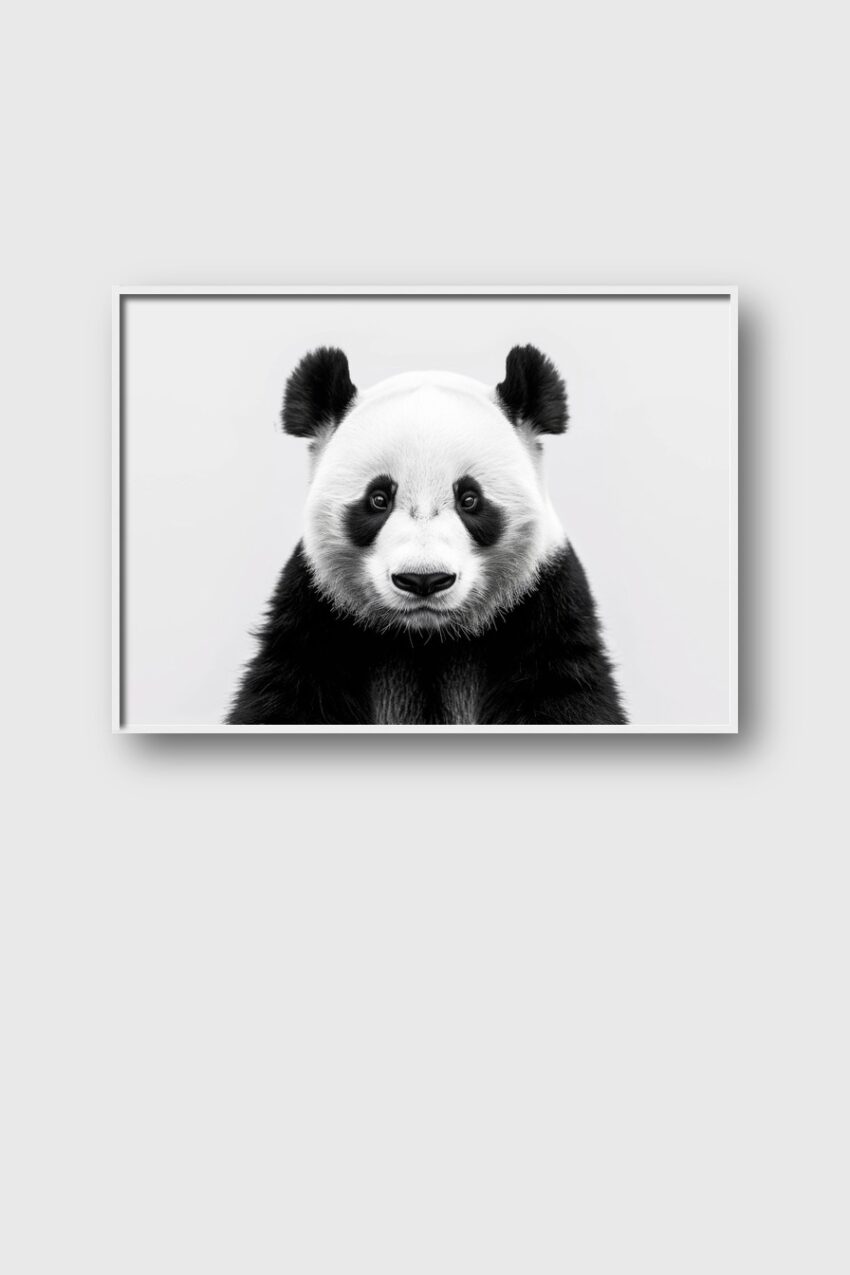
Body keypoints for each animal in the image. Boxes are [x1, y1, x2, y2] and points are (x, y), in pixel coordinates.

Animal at [227, 344, 626, 726]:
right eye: (378, 499)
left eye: (470, 499)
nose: (423, 580)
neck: (427, 639)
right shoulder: (314, 613)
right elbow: (289, 693)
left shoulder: (545, 605)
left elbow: (564, 692)